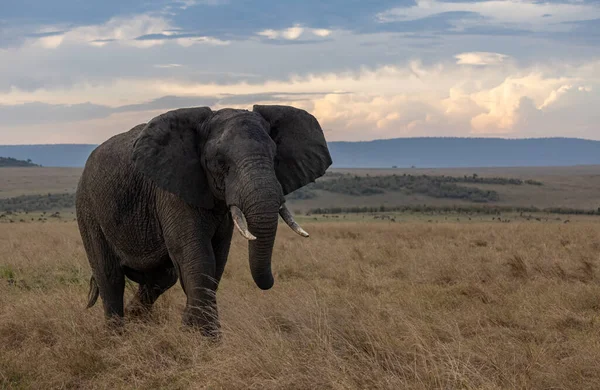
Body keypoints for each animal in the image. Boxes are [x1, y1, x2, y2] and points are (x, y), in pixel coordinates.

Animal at [75, 105, 332, 336]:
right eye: (220, 162)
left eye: (275, 156)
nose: (270, 281)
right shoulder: (172, 191)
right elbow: (197, 256)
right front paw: (206, 340)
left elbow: (217, 259)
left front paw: (191, 331)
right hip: (88, 208)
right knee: (110, 277)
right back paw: (117, 338)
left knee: (162, 277)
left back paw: (139, 325)